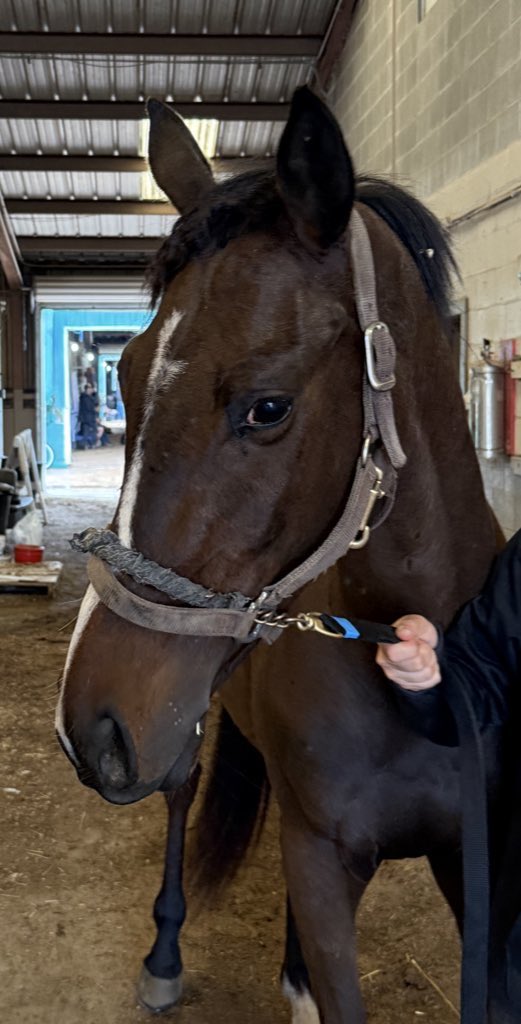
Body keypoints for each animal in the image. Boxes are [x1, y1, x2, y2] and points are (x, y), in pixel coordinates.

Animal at [56, 87, 499, 1023]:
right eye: (124, 379)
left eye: (266, 407)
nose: (89, 728)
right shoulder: (320, 858)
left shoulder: (467, 865)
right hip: (182, 736)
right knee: (182, 797)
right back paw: (165, 957)